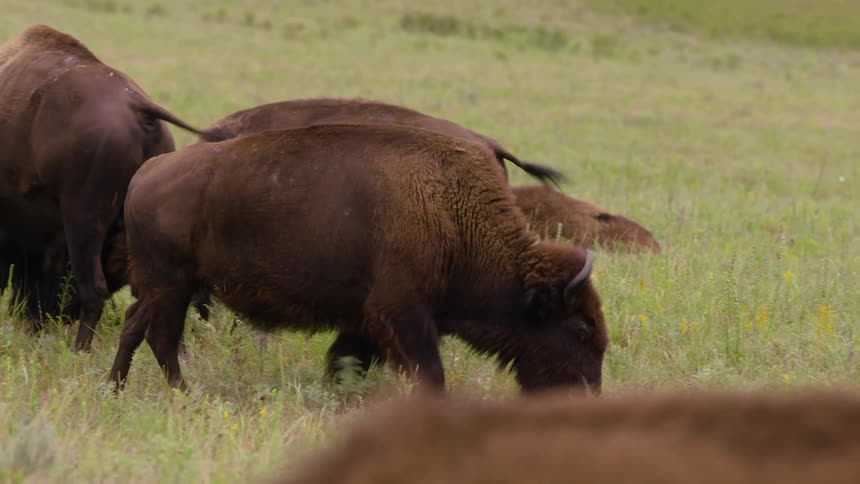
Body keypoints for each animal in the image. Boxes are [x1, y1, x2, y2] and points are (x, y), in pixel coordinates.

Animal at [108, 124, 608, 394]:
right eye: (581, 328)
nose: (588, 392)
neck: (452, 212)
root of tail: (145, 174)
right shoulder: (402, 312)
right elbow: (430, 372)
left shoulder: (366, 320)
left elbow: (348, 363)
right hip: (169, 285)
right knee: (158, 337)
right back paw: (178, 394)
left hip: (168, 287)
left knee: (140, 328)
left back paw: (127, 389)